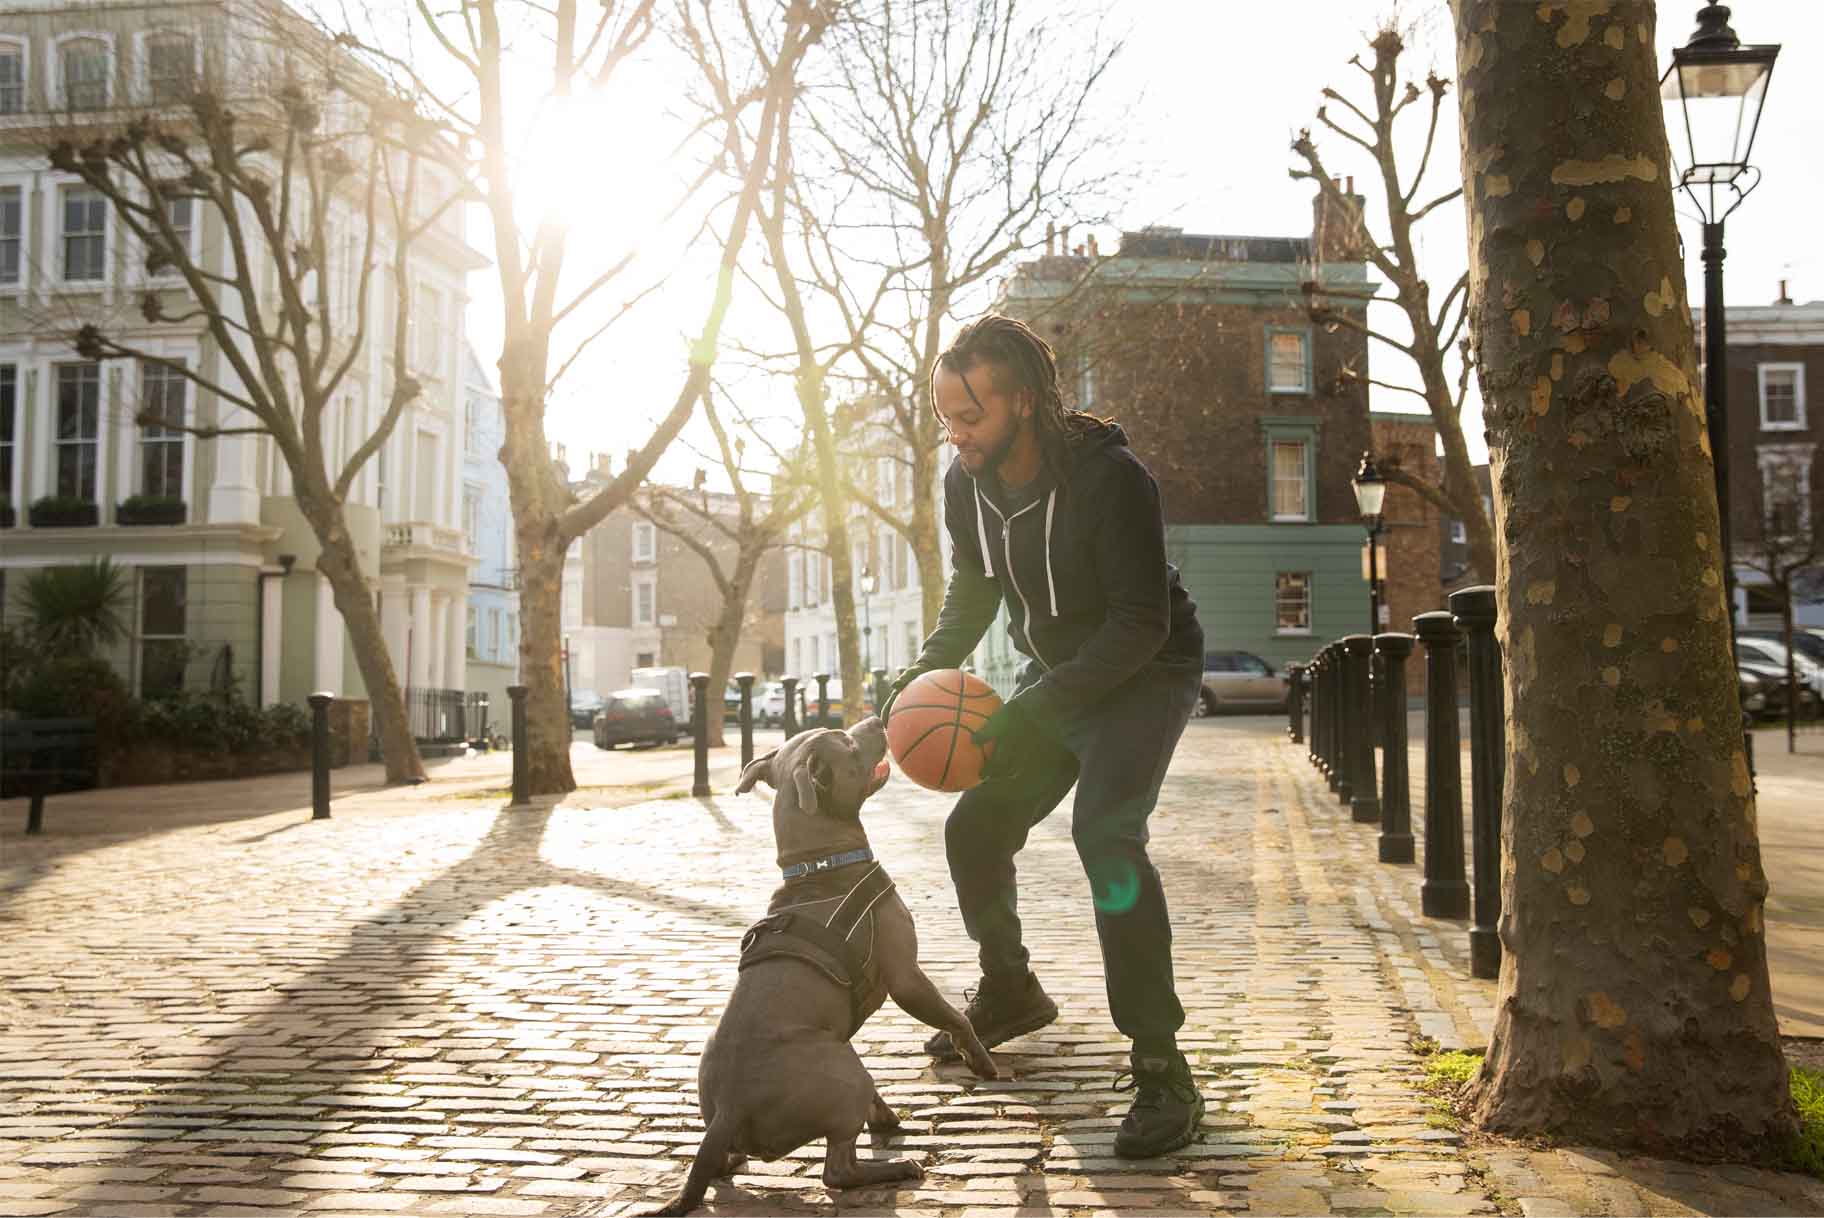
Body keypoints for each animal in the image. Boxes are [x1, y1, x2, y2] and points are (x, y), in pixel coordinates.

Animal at [649, 718, 999, 1210]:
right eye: (847, 742)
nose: (877, 719)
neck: (820, 862)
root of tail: (729, 1109)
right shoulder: (907, 978)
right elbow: (956, 1018)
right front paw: (981, 1061)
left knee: (724, 1163)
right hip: (842, 1065)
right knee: (837, 1171)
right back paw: (896, 1166)